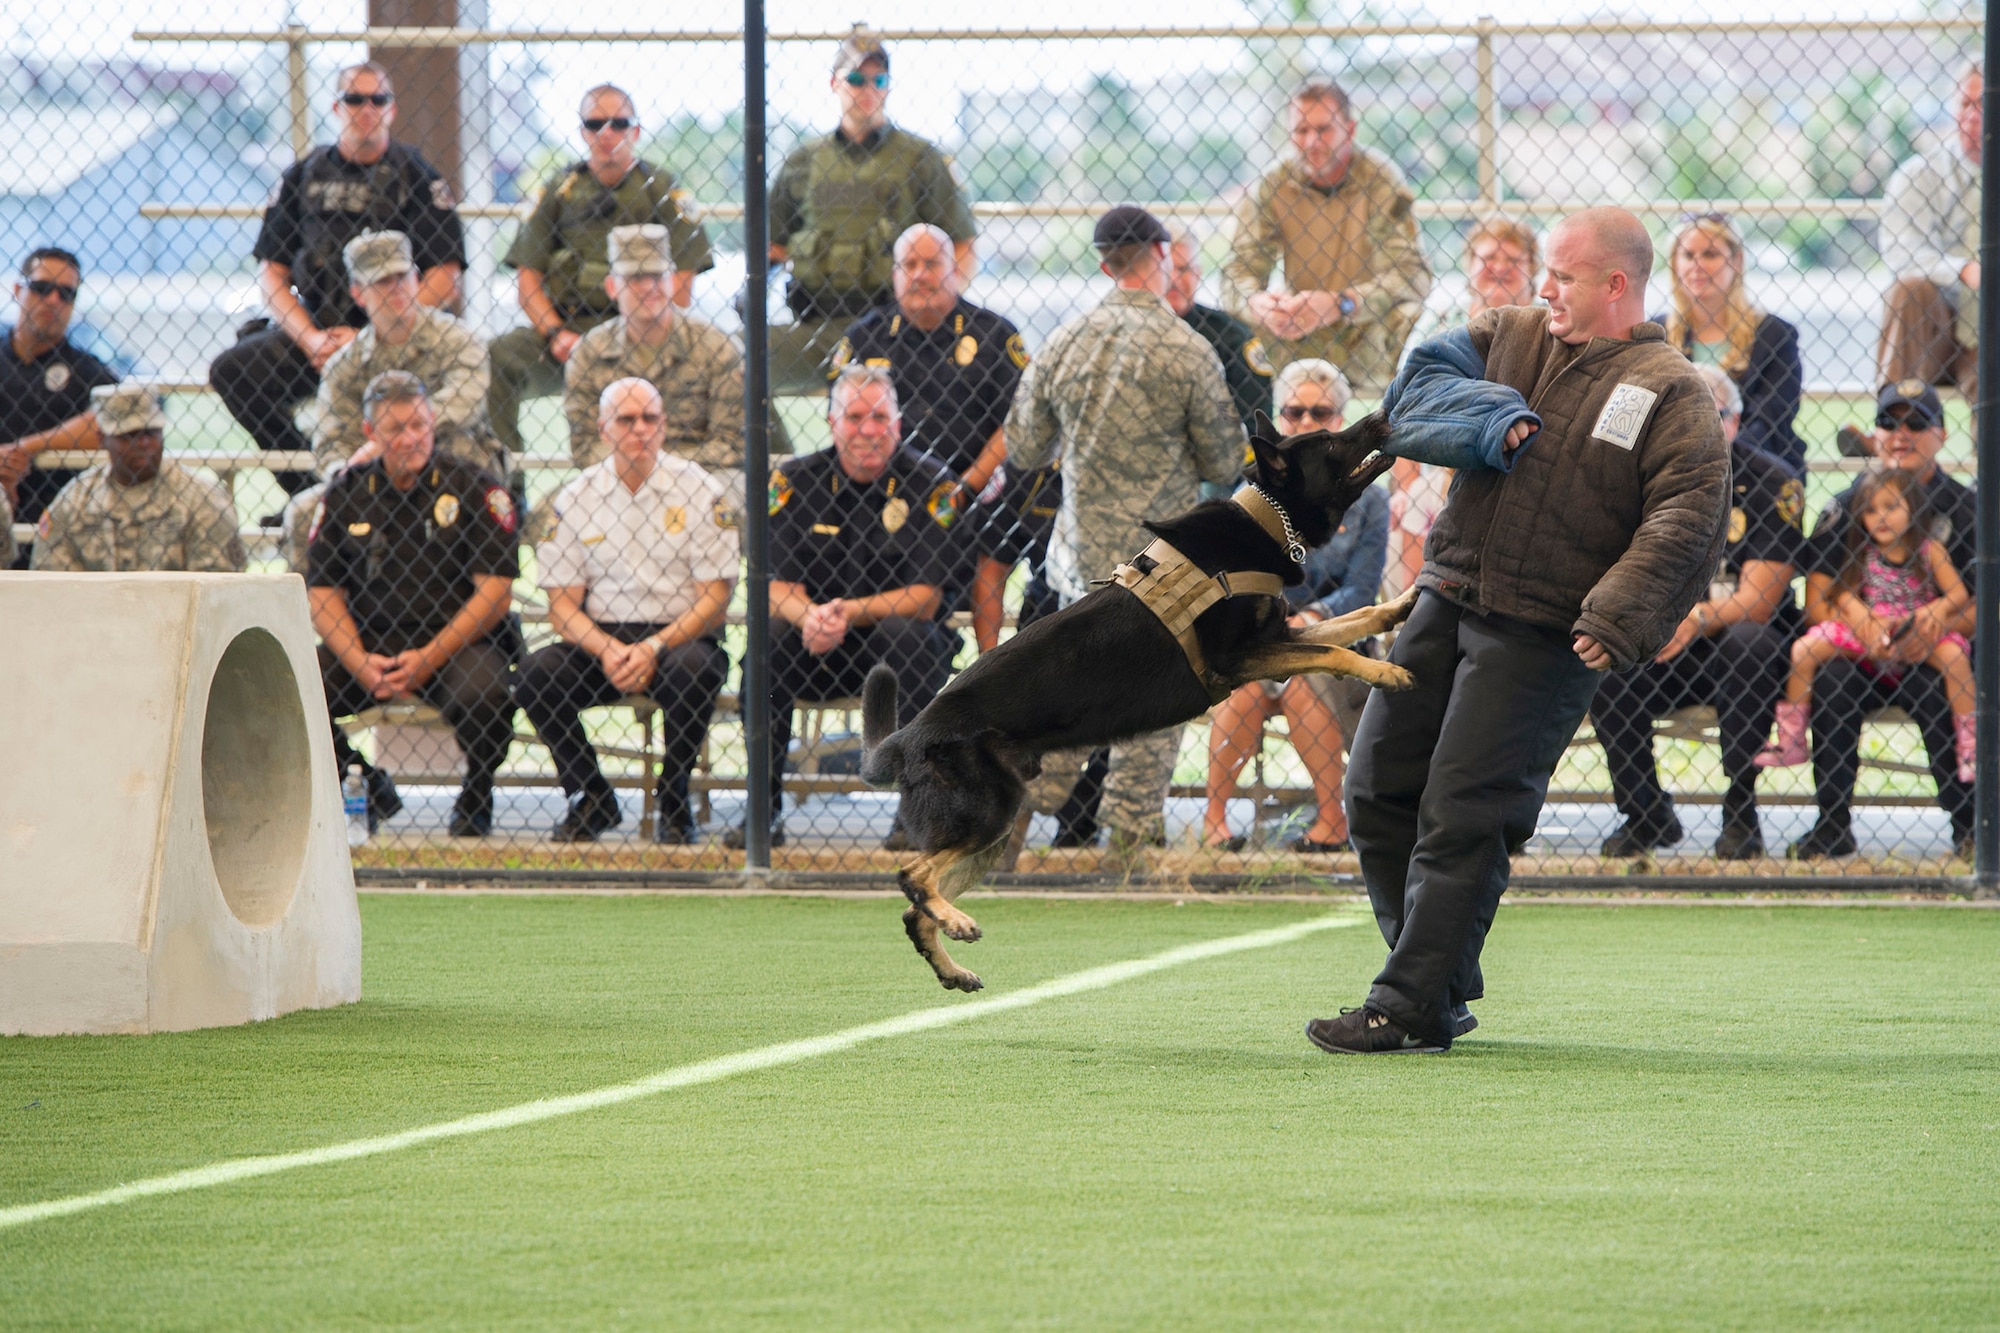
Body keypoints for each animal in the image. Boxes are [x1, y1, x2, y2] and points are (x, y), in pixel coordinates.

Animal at [860, 412, 1424, 984]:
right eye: (1331, 441)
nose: (1379, 416)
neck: (1267, 520)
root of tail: (903, 739)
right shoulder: (1239, 659)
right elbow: (1332, 647)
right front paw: (1384, 670)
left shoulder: (1277, 639)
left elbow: (1352, 621)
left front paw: (1400, 606)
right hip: (988, 813)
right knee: (911, 875)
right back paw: (953, 918)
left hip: (992, 829)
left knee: (914, 910)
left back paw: (952, 962)